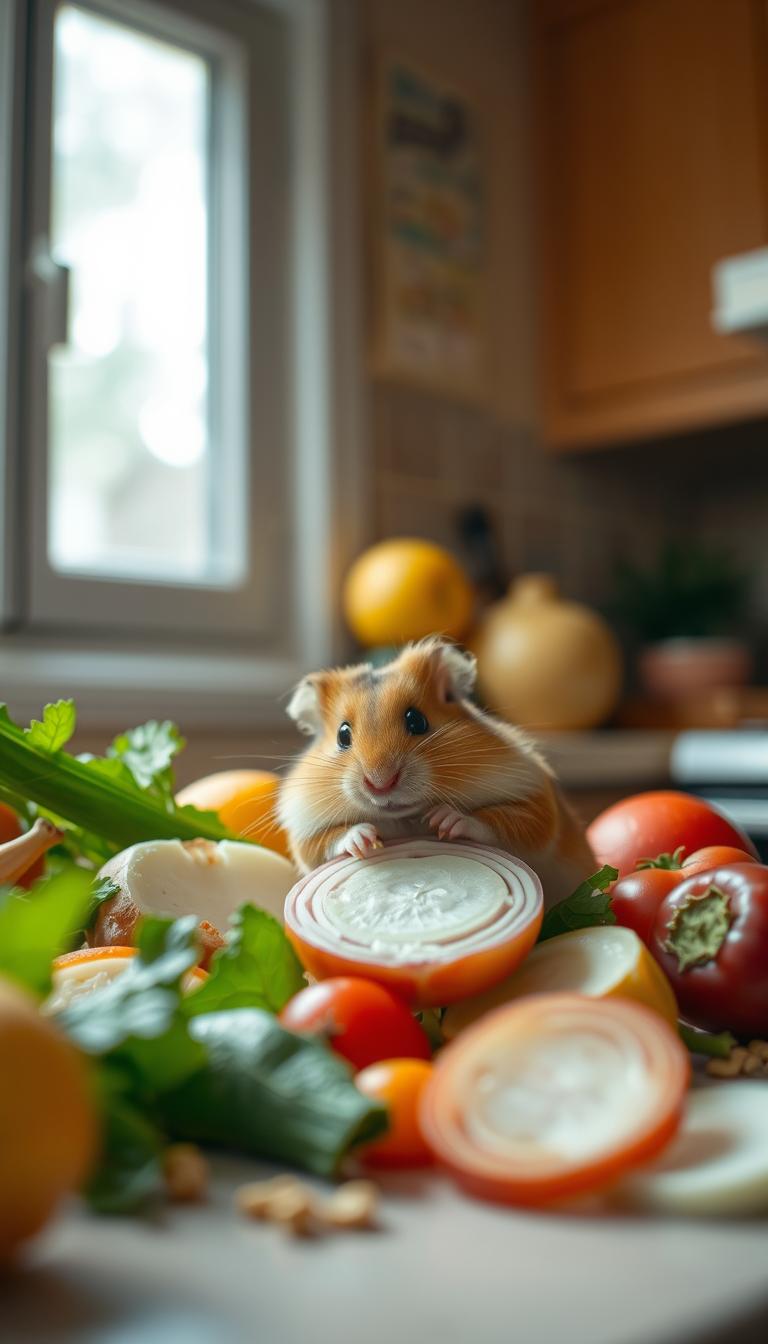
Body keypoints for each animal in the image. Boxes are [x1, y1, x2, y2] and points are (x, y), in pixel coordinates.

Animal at [277, 638, 596, 906]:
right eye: (343, 735)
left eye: (417, 721)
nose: (380, 783)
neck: (406, 817)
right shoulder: (303, 832)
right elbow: (324, 842)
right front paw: (365, 839)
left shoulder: (534, 801)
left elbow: (502, 822)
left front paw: (443, 820)